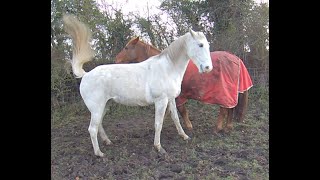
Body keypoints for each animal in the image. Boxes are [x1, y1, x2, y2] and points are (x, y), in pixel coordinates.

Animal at [62, 14, 212, 158]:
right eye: (200, 45)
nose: (207, 68)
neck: (167, 68)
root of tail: (86, 75)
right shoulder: (161, 101)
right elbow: (158, 124)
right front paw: (159, 147)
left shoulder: (170, 99)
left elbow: (176, 118)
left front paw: (184, 136)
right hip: (97, 107)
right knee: (92, 129)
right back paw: (99, 153)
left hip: (105, 105)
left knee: (98, 125)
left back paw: (107, 142)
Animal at [115, 37, 252, 134]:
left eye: (126, 48)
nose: (116, 59)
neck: (165, 65)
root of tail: (236, 59)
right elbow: (168, 112)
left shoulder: (178, 97)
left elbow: (182, 111)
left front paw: (188, 127)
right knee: (230, 109)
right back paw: (228, 127)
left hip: (224, 93)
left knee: (224, 109)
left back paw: (218, 128)